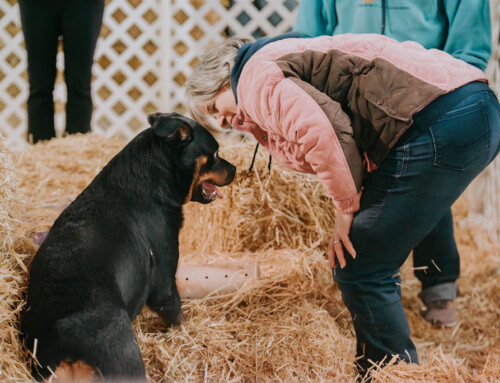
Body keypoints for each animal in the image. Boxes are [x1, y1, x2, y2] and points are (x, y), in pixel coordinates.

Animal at [21, 112, 236, 382]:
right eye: (215, 154)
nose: (235, 169)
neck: (152, 181)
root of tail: (62, 349)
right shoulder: (164, 276)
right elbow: (175, 310)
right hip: (126, 357)